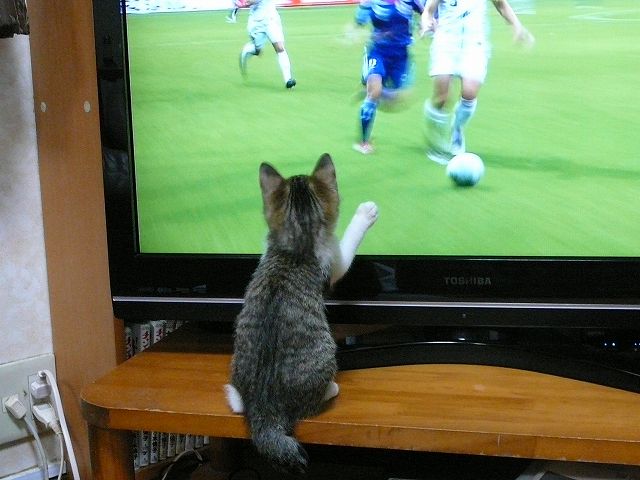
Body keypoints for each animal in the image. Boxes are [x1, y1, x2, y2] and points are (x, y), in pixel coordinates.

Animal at [224, 153, 378, 475]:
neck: (295, 241)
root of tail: (265, 412)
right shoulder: (334, 260)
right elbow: (346, 247)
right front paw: (364, 214)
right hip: (326, 355)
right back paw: (331, 388)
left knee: (239, 404)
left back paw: (233, 394)